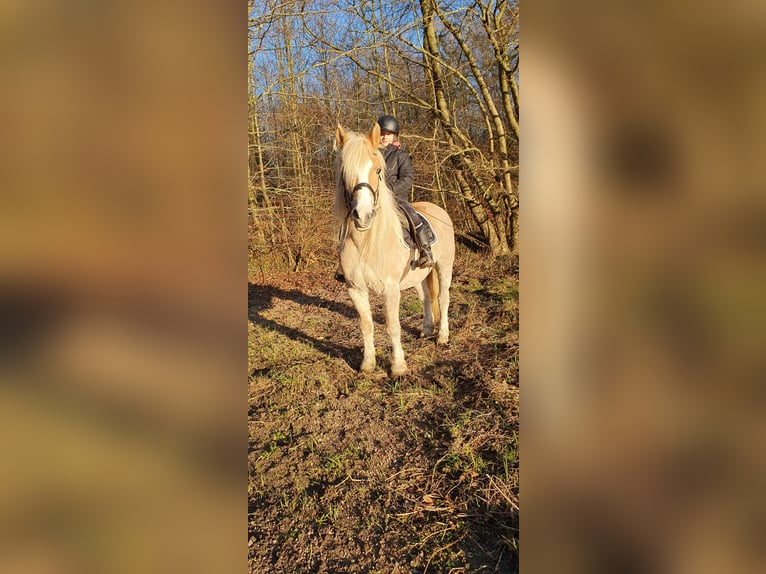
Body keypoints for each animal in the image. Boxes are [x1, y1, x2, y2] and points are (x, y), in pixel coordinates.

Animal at [336, 121, 456, 378]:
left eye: (378, 171)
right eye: (344, 173)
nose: (363, 215)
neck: (367, 243)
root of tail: (439, 210)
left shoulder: (390, 289)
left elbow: (393, 326)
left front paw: (398, 366)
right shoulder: (355, 289)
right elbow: (366, 325)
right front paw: (367, 364)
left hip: (444, 267)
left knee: (443, 298)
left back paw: (442, 336)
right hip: (419, 275)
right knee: (426, 298)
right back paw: (426, 330)